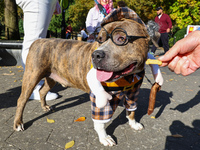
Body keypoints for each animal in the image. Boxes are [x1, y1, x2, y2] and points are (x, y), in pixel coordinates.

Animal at [13, 7, 158, 146]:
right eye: (100, 39)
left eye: (121, 39)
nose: (96, 55)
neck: (128, 77)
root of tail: (39, 41)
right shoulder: (99, 97)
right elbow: (100, 122)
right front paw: (104, 137)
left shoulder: (133, 92)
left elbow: (131, 110)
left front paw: (133, 123)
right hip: (32, 76)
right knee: (21, 100)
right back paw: (18, 123)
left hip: (52, 77)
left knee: (42, 91)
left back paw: (45, 107)